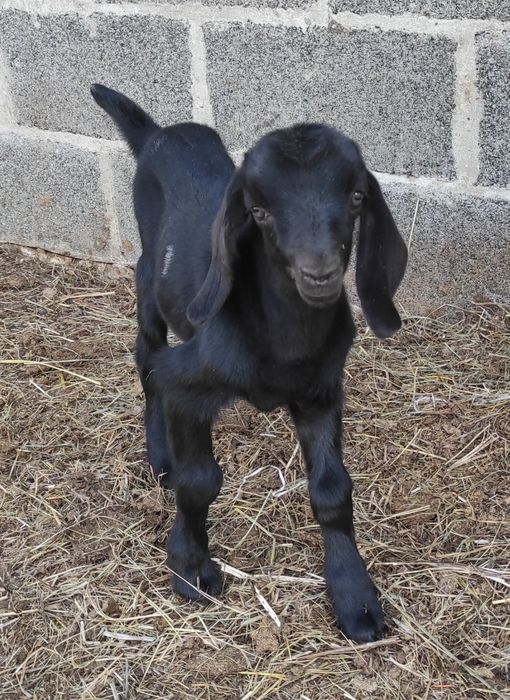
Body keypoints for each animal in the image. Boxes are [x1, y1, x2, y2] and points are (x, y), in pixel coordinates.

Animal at [91, 84, 407, 643]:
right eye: (258, 211)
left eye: (356, 197)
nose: (319, 273)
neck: (283, 345)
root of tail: (158, 134)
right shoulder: (188, 385)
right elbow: (199, 480)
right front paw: (191, 568)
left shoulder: (321, 392)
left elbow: (332, 490)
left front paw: (355, 598)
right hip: (149, 281)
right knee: (147, 359)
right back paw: (160, 454)